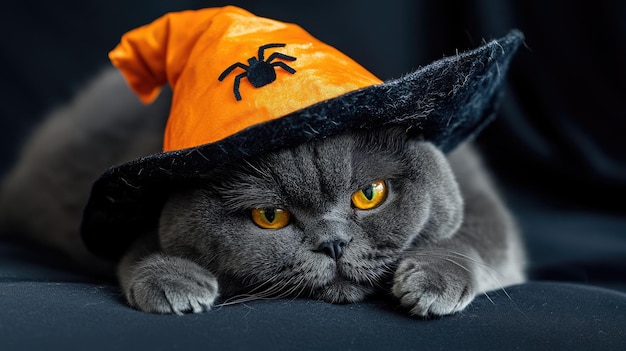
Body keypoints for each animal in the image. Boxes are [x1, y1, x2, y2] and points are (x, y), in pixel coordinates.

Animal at [0, 67, 524, 318]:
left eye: (370, 193)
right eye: (269, 217)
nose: (334, 243)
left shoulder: (478, 194)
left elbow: (474, 240)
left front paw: (430, 281)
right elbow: (141, 245)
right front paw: (174, 281)